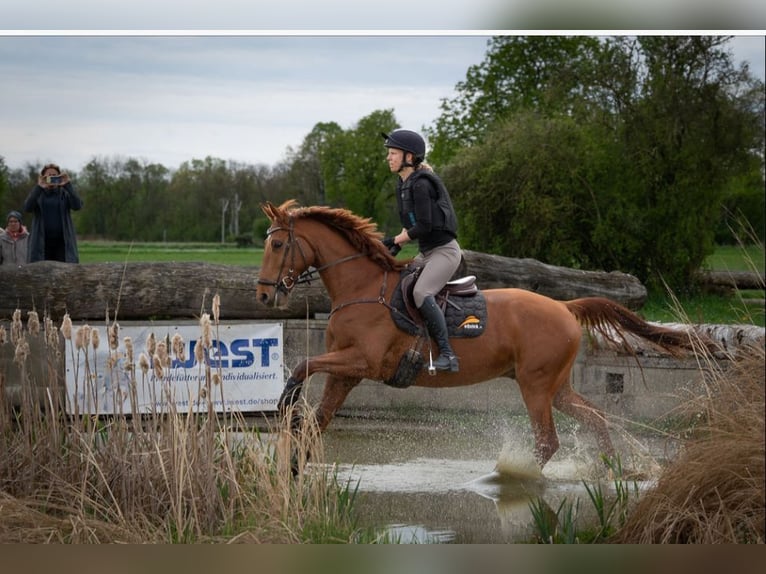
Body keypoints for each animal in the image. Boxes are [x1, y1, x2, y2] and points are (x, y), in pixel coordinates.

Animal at [255, 199, 709, 469]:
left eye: (276, 245)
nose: (262, 294)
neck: (361, 289)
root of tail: (564, 307)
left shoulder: (363, 361)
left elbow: (302, 364)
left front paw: (285, 402)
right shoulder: (346, 373)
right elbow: (319, 420)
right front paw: (293, 465)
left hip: (535, 386)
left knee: (548, 441)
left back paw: (509, 481)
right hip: (556, 386)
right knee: (594, 417)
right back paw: (610, 471)